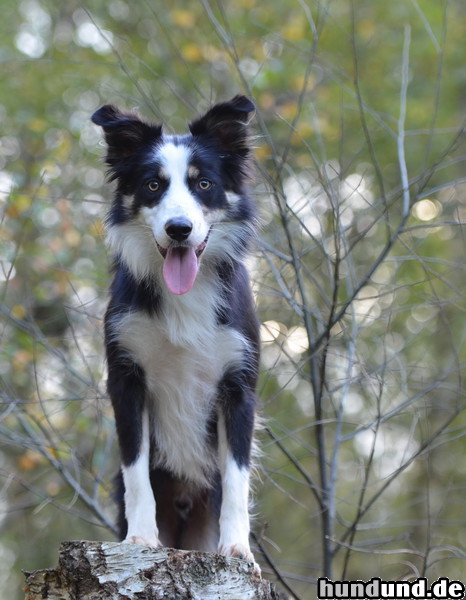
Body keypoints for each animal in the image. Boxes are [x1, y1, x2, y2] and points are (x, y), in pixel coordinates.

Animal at [89, 96, 260, 568]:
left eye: (203, 183)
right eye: (152, 185)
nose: (179, 229)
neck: (185, 292)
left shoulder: (238, 384)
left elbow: (237, 476)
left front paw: (239, 548)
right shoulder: (126, 377)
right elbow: (136, 471)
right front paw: (140, 539)